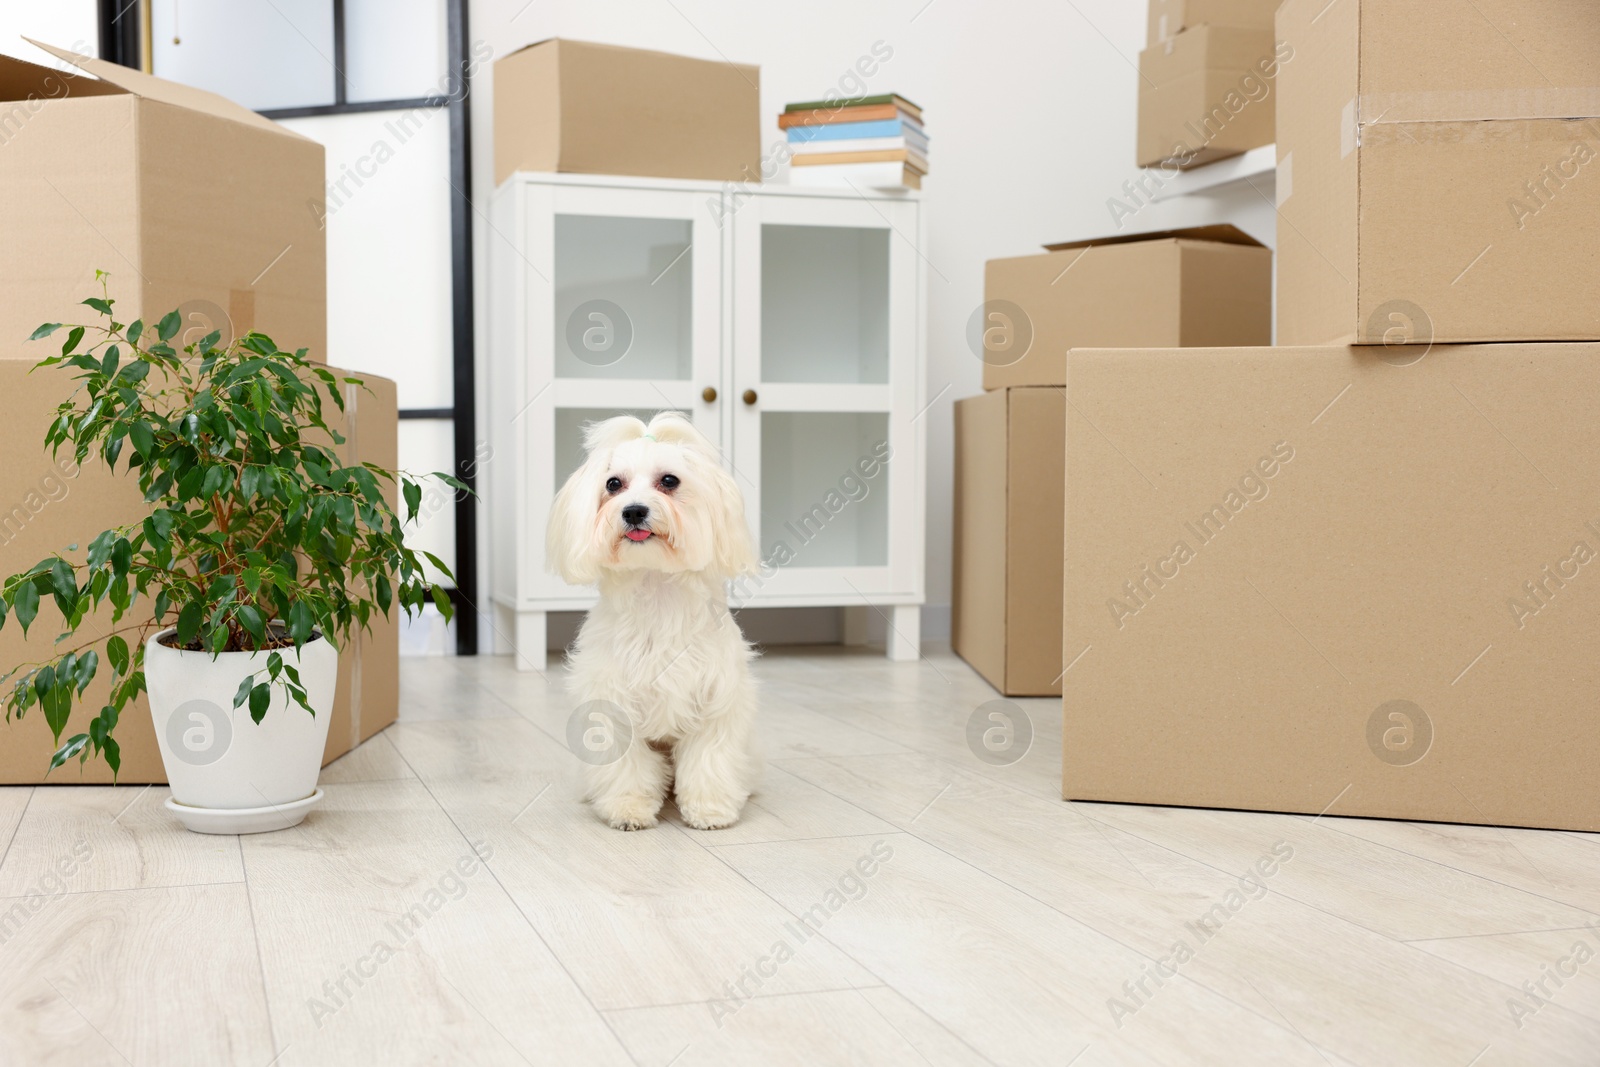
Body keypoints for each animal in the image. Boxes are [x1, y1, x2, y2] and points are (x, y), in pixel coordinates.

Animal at [547, 412, 758, 831]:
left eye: (670, 481)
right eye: (613, 484)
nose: (633, 511)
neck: (656, 587)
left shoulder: (716, 699)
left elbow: (710, 758)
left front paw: (710, 809)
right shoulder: (612, 703)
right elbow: (626, 765)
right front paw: (627, 808)